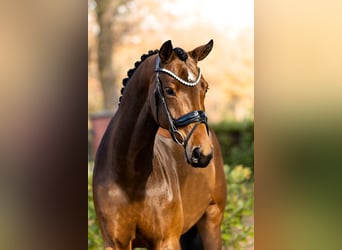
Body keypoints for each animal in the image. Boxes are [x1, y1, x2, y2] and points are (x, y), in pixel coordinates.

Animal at [93, 40, 227, 249]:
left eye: (205, 88)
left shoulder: (166, 241)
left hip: (211, 220)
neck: (129, 176)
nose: (202, 153)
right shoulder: (114, 243)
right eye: (170, 90)